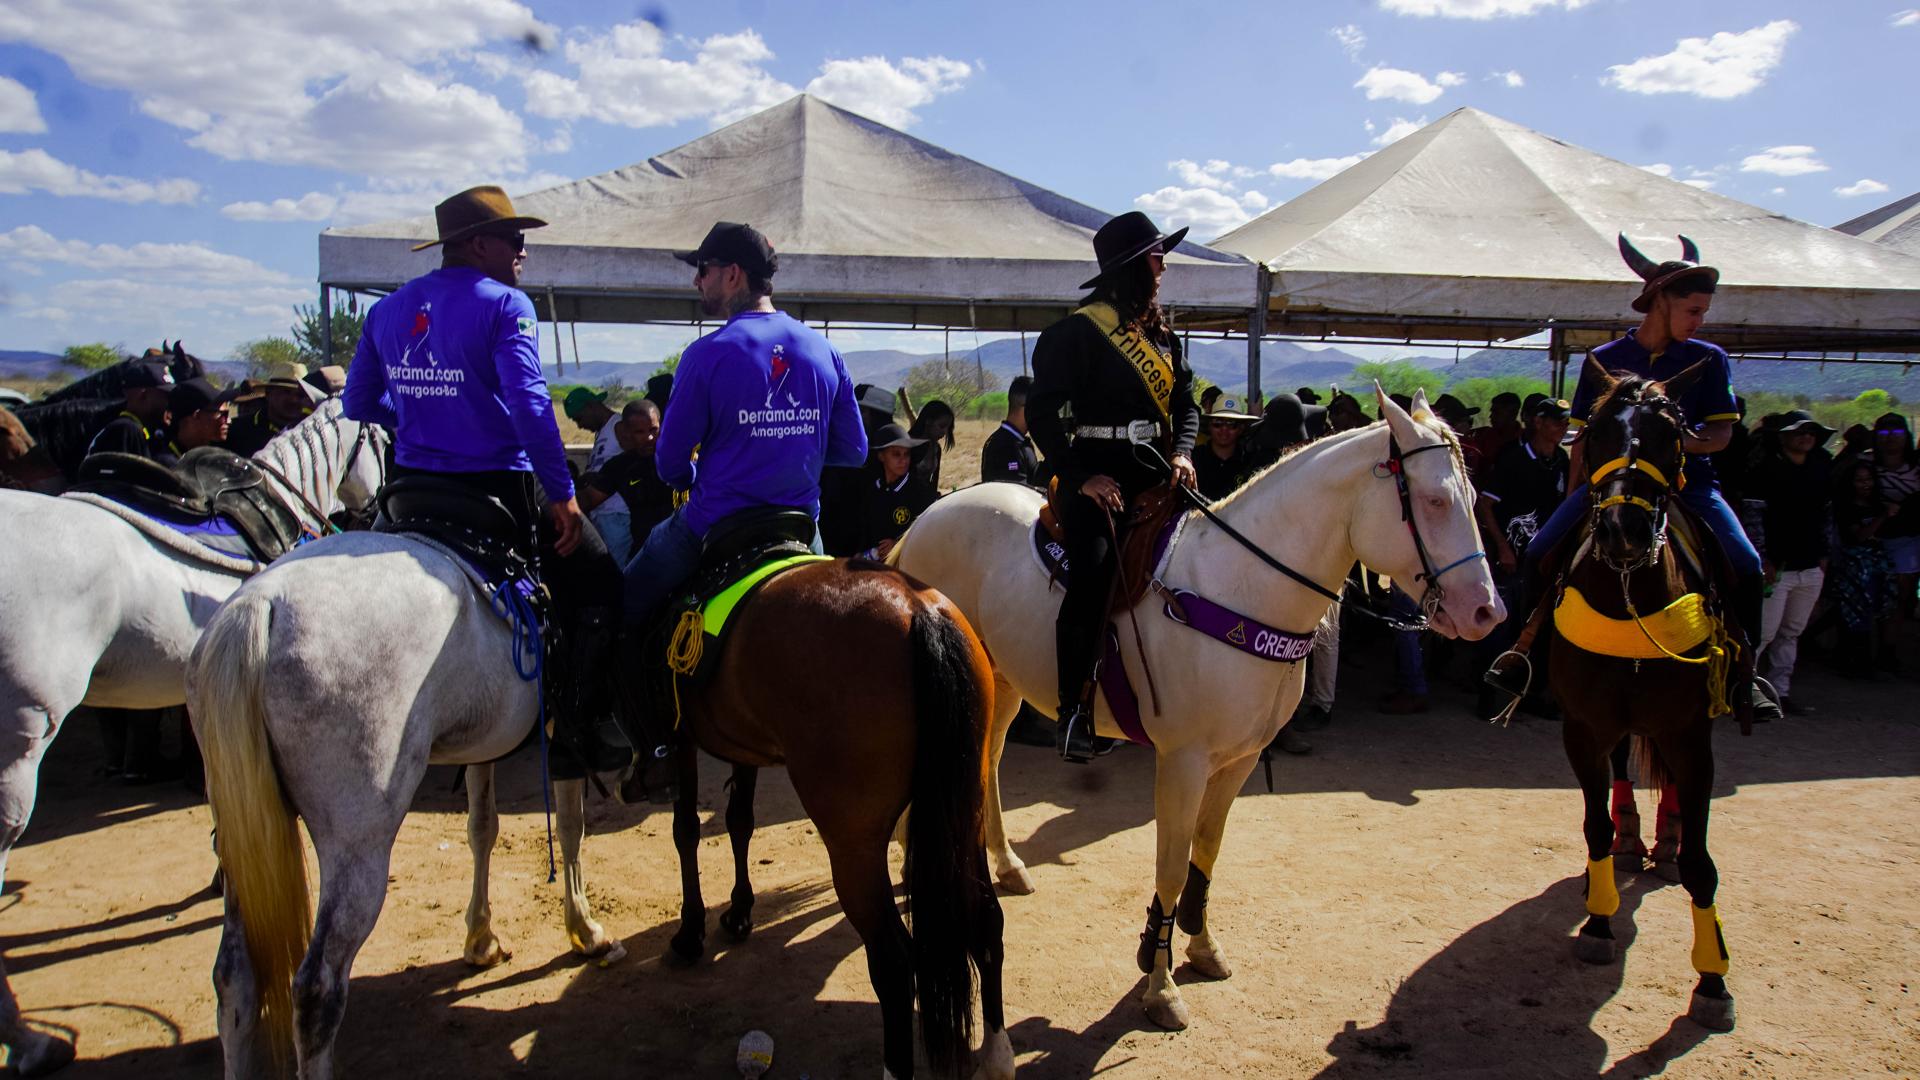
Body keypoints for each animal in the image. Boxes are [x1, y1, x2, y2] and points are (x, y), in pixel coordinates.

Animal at [656, 559, 1013, 1080]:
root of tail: (918, 609)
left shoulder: (678, 734)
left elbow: (685, 830)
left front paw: (689, 932)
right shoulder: (738, 745)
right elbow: (739, 820)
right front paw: (739, 911)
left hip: (854, 844)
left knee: (893, 961)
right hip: (965, 809)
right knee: (984, 918)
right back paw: (996, 1056)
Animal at [892, 387, 1503, 1031]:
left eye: (1470, 499)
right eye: (1434, 501)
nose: (1486, 612)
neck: (1240, 588)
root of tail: (929, 518)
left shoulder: (1239, 760)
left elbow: (1204, 854)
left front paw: (1201, 947)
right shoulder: (1182, 762)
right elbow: (1170, 864)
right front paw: (1160, 988)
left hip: (1003, 682)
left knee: (985, 763)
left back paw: (1004, 864)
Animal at [1545, 361, 1739, 1032]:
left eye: (1669, 434)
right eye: (1595, 431)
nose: (1621, 529)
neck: (1628, 590)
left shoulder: (1692, 733)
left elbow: (1706, 863)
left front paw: (1713, 981)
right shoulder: (1582, 725)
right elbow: (1594, 825)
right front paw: (1600, 922)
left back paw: (1667, 839)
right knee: (1624, 768)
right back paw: (1630, 845)